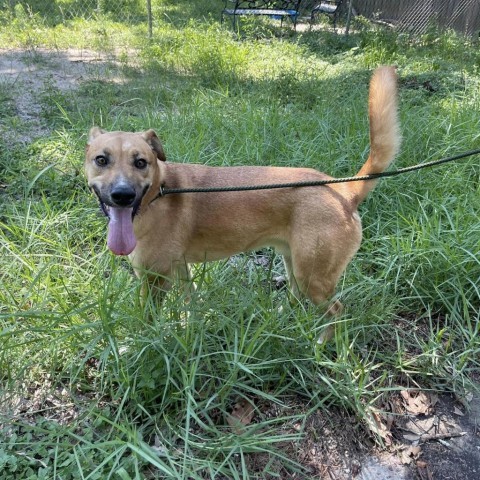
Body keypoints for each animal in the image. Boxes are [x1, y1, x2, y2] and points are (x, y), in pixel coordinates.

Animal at [85, 65, 402, 320]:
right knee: (297, 301)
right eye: (101, 160)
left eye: (141, 162)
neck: (157, 195)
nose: (122, 195)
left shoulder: (152, 280)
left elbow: (145, 322)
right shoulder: (181, 269)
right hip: (295, 266)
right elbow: (191, 302)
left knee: (336, 312)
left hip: (313, 278)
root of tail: (342, 189)